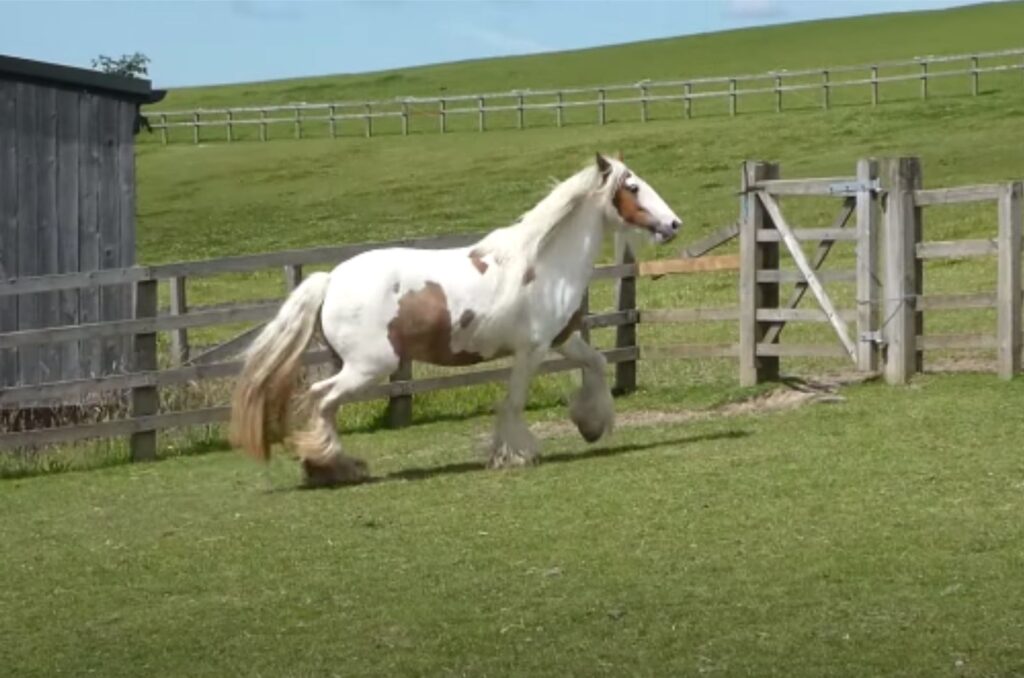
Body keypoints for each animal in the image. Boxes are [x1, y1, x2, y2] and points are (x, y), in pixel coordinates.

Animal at [228, 152, 684, 489]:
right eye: (633, 187)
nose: (673, 224)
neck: (544, 262)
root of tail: (332, 279)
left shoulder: (563, 339)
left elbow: (598, 363)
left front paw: (591, 425)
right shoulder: (532, 349)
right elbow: (513, 402)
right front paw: (516, 455)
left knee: (326, 405)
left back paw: (330, 467)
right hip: (370, 366)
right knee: (321, 398)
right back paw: (333, 466)